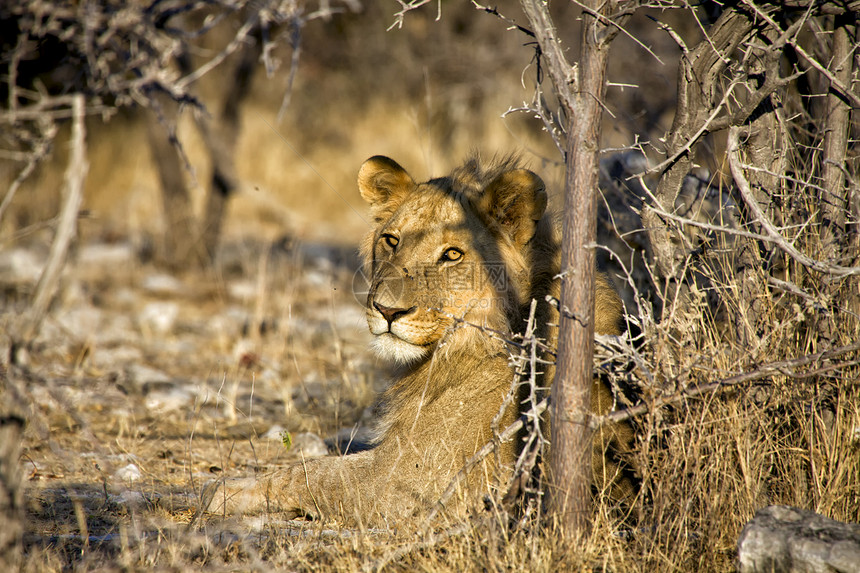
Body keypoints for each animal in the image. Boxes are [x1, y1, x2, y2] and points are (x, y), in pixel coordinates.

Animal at [202, 154, 632, 524]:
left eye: (452, 255)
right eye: (391, 240)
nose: (387, 311)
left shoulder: (418, 480)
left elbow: (313, 474)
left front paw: (222, 490)